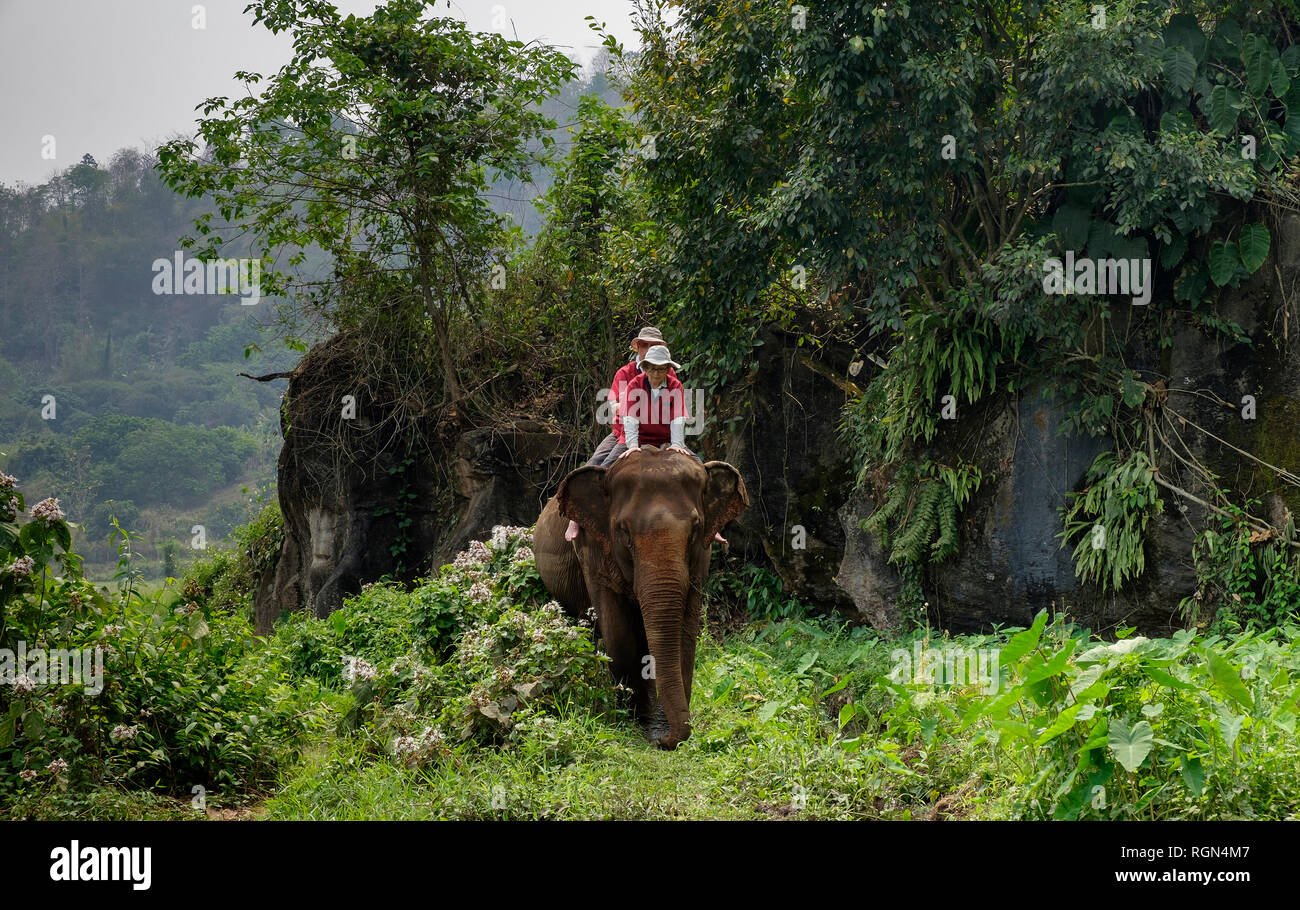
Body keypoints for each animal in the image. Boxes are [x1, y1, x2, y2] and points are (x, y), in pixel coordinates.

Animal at [533, 446, 749, 750]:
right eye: (624, 531)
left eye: (695, 528)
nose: (665, 740)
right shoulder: (592, 548)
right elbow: (619, 634)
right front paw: (633, 718)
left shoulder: (701, 557)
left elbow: (684, 633)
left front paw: (656, 724)